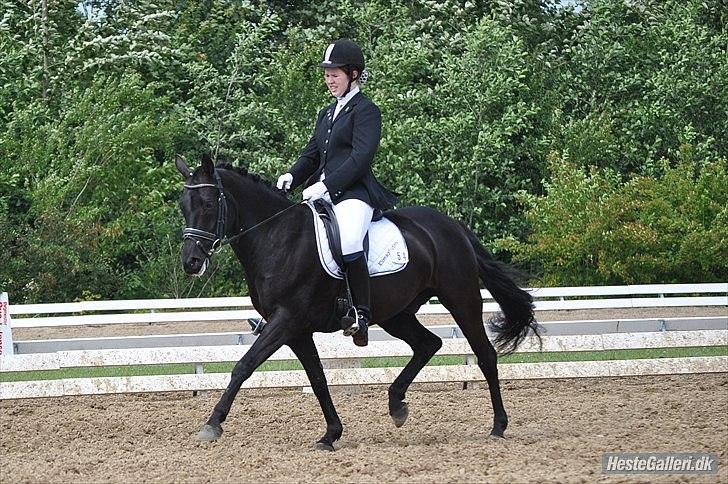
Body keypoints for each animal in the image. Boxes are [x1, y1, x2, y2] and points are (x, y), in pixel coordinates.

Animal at [175, 154, 540, 450]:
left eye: (208, 204)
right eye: (183, 206)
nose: (191, 262)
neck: (278, 236)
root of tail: (454, 227)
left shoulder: (286, 320)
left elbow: (244, 365)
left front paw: (212, 425)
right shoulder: (296, 331)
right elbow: (318, 380)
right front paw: (330, 434)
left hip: (461, 300)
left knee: (485, 355)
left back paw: (498, 426)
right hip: (396, 314)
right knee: (428, 344)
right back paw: (396, 405)